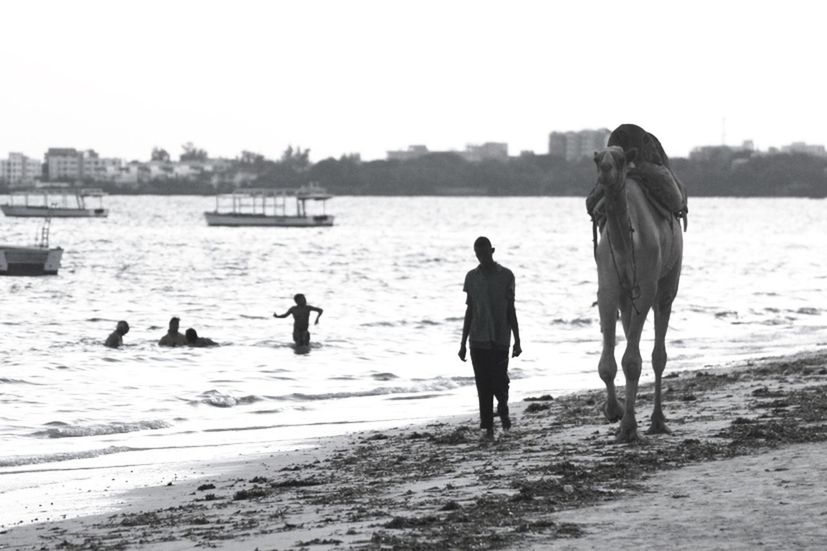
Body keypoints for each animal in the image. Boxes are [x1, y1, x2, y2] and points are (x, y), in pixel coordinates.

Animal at [596, 141, 684, 444]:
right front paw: (614, 411)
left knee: (658, 353)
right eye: (596, 159)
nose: (605, 170)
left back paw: (658, 421)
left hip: (668, 280)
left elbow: (632, 361)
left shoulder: (646, 285)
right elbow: (609, 364)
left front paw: (628, 427)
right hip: (626, 297)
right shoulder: (608, 288)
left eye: (621, 159)